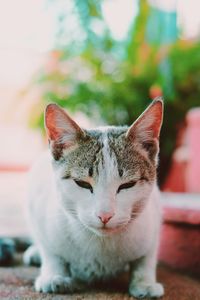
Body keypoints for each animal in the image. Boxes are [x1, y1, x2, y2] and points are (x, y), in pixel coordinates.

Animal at [23, 98, 164, 298]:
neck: (100, 242)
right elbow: (51, 251)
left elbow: (147, 257)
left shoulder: (154, 216)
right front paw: (55, 275)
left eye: (127, 185)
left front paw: (144, 282)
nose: (105, 215)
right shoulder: (40, 208)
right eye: (82, 183)